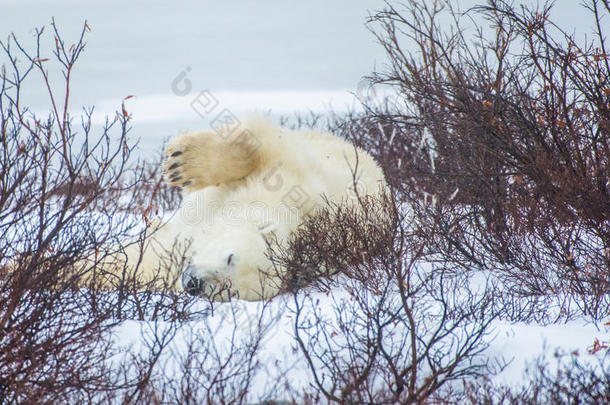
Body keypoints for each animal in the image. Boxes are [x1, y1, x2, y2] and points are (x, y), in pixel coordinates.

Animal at [92, 115, 382, 298]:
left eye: (229, 290)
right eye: (230, 257)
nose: (195, 283)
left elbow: (136, 263)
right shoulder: (297, 180)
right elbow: (260, 145)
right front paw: (184, 162)